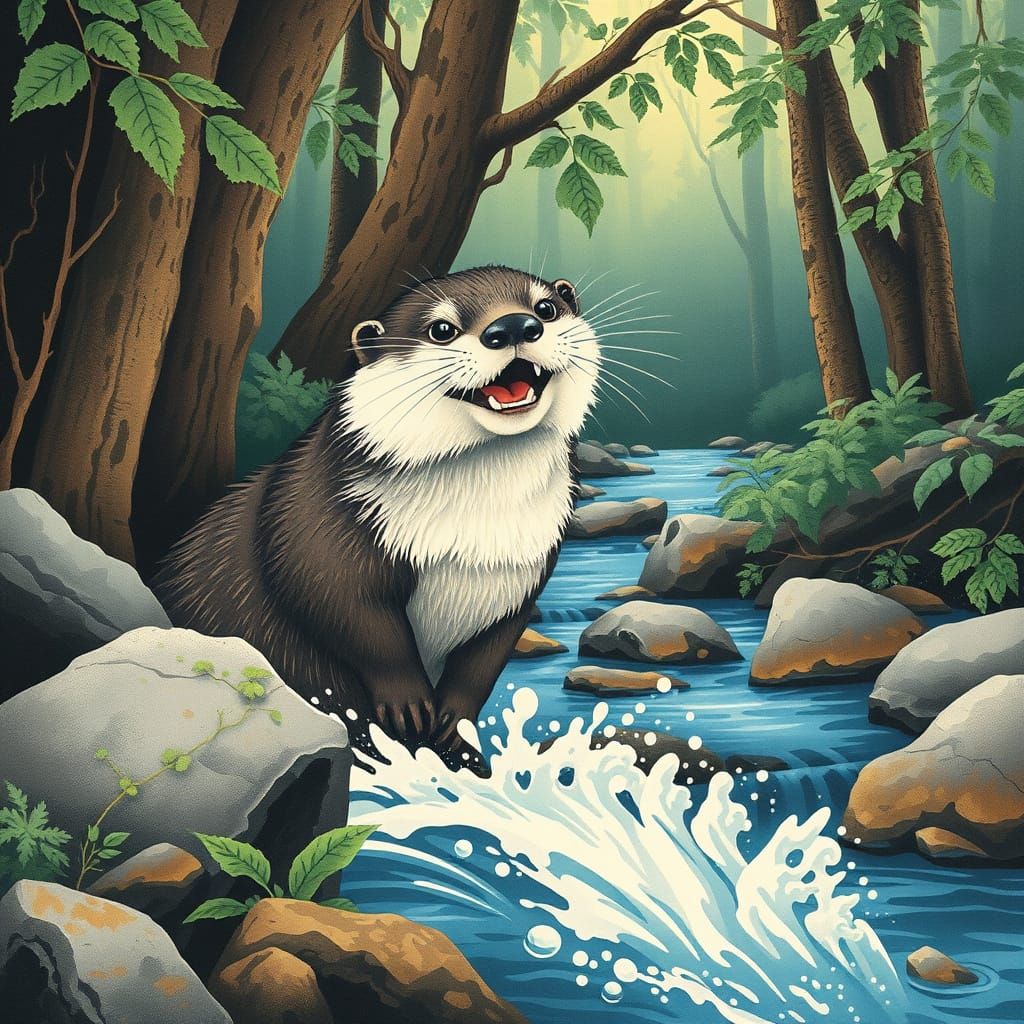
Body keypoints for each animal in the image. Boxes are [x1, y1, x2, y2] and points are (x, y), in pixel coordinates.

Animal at [152, 266, 600, 763]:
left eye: (546, 307)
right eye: (441, 329)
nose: (515, 327)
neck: (469, 541)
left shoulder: (520, 573)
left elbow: (485, 658)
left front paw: (458, 736)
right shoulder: (316, 529)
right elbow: (353, 618)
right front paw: (407, 709)